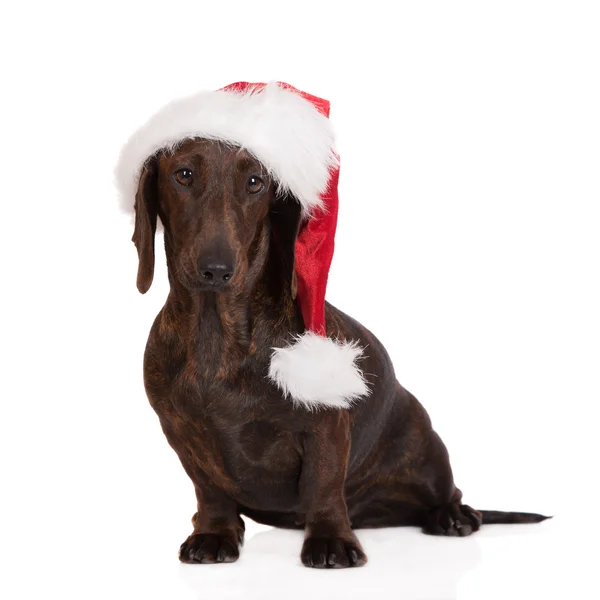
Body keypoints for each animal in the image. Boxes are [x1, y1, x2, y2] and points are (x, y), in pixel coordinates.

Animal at [130, 134, 548, 568]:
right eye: (183, 174)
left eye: (255, 182)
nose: (217, 269)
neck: (217, 335)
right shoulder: (182, 433)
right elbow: (209, 489)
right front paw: (213, 533)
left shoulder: (326, 428)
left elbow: (324, 485)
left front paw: (331, 541)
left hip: (426, 447)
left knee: (447, 492)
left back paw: (453, 515)